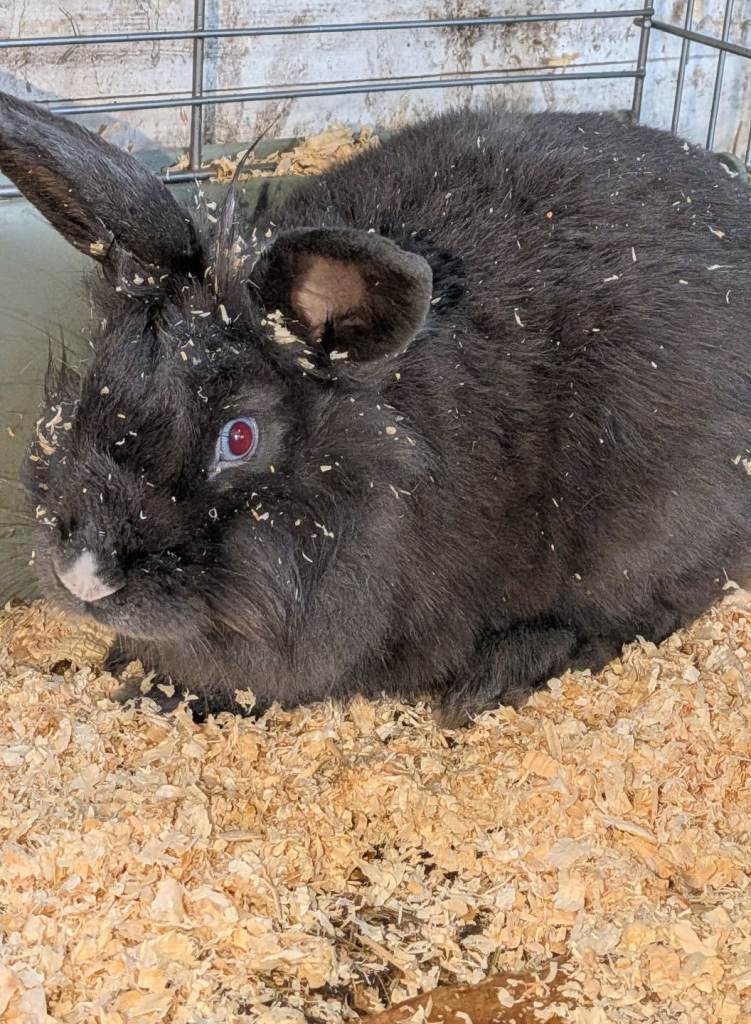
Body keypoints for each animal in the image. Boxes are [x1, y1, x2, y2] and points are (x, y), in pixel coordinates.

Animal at [2, 88, 750, 728]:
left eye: (239, 438)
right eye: (94, 380)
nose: (84, 575)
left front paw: (151, 694)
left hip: (646, 539)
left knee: (630, 619)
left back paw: (491, 680)